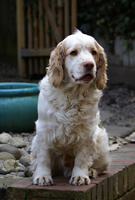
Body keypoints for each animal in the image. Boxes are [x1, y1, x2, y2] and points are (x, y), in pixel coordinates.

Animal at [31, 29, 110, 186]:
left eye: (93, 52)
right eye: (73, 52)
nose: (89, 65)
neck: (73, 95)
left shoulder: (86, 133)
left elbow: (82, 158)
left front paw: (80, 176)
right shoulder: (44, 130)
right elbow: (44, 158)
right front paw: (42, 176)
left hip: (100, 139)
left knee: (100, 166)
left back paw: (91, 171)